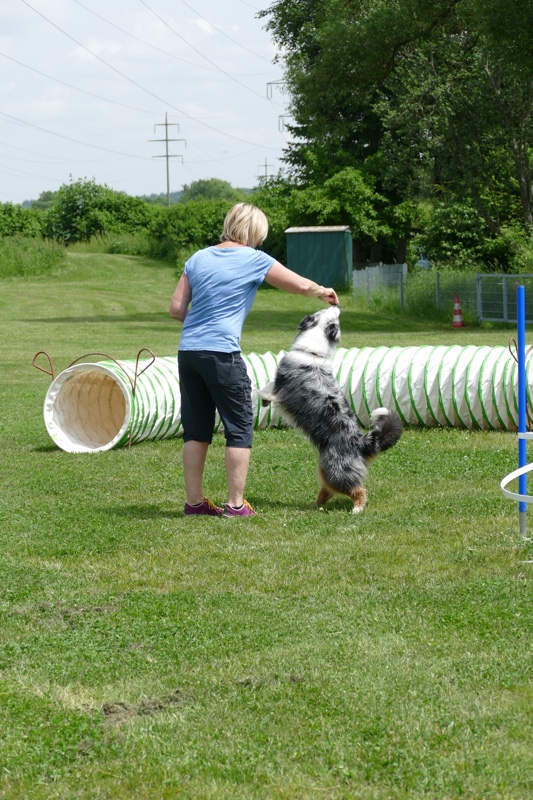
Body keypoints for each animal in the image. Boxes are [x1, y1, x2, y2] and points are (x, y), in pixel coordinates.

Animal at [259, 306, 402, 513]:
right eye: (325, 310)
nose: (336, 305)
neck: (312, 350)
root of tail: (361, 443)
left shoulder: (281, 388)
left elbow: (265, 389)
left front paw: (259, 396)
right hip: (325, 469)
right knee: (328, 490)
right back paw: (315, 506)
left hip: (336, 470)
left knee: (357, 489)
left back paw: (357, 509)